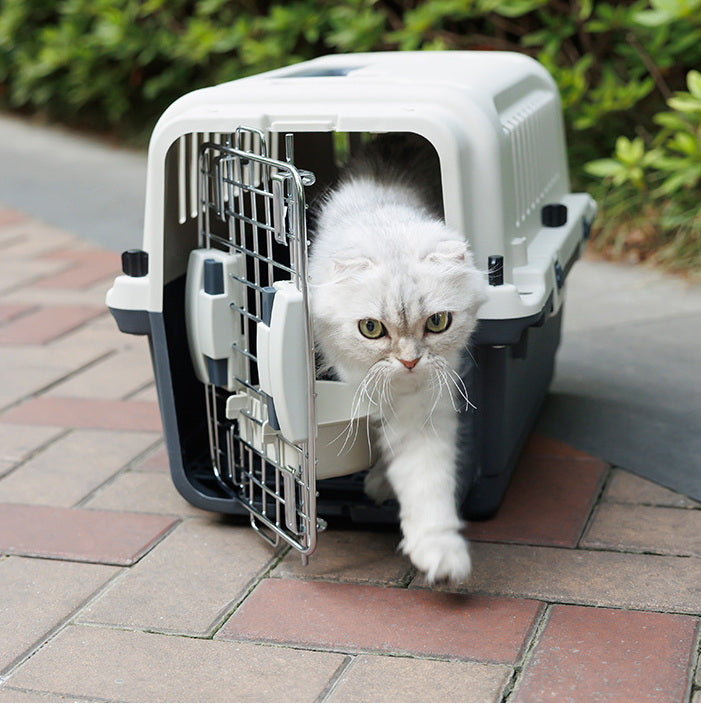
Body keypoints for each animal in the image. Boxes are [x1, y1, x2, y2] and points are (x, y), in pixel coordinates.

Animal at [308, 133, 486, 584]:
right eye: (371, 329)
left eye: (438, 322)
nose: (408, 362)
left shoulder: (423, 409)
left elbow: (426, 482)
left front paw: (441, 557)